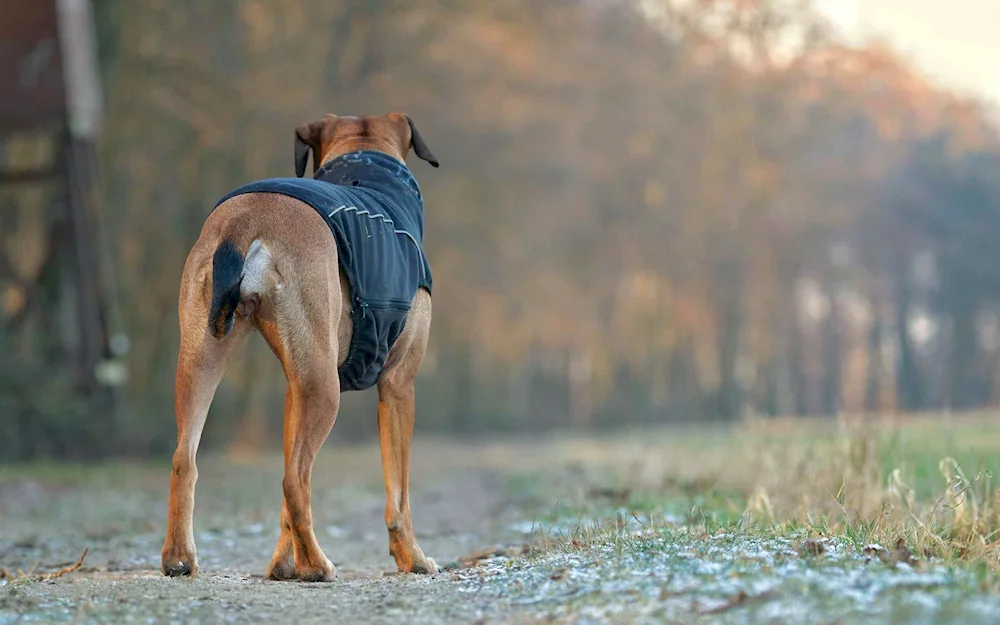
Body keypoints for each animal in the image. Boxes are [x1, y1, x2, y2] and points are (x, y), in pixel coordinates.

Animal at [161, 112, 442, 580]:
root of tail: (247, 220)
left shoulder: (294, 390)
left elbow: (285, 506)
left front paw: (282, 565)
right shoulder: (399, 385)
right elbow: (399, 495)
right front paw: (414, 558)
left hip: (203, 359)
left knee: (187, 459)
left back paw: (179, 559)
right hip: (324, 388)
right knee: (295, 479)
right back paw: (318, 566)